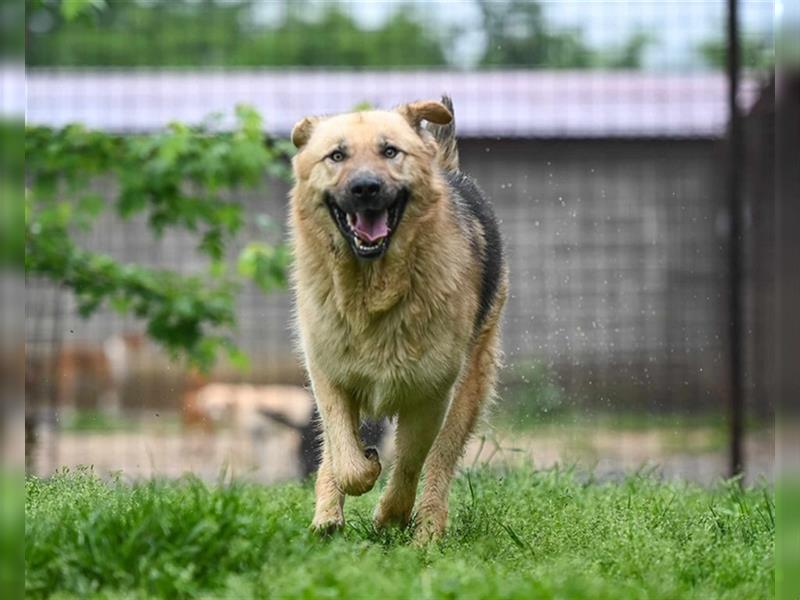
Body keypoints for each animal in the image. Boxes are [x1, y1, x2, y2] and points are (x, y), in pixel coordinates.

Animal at [290, 95, 510, 544]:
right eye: (336, 155)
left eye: (390, 151)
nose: (365, 188)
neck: (372, 292)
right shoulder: (328, 377)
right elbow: (345, 459)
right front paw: (363, 470)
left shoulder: (430, 394)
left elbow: (410, 462)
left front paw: (391, 516)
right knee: (332, 454)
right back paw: (326, 520)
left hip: (470, 386)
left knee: (440, 462)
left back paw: (427, 530)